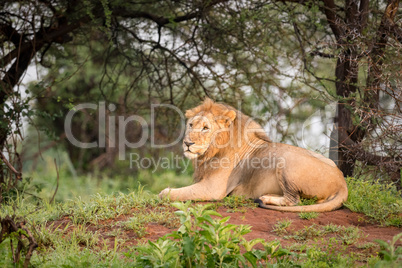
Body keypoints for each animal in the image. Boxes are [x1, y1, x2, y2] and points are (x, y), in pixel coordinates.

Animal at [159, 97, 348, 213]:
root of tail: (342, 181)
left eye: (205, 128)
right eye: (191, 125)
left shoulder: (213, 188)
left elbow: (166, 193)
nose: (187, 143)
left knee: (294, 200)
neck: (210, 152)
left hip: (286, 162)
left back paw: (265, 198)